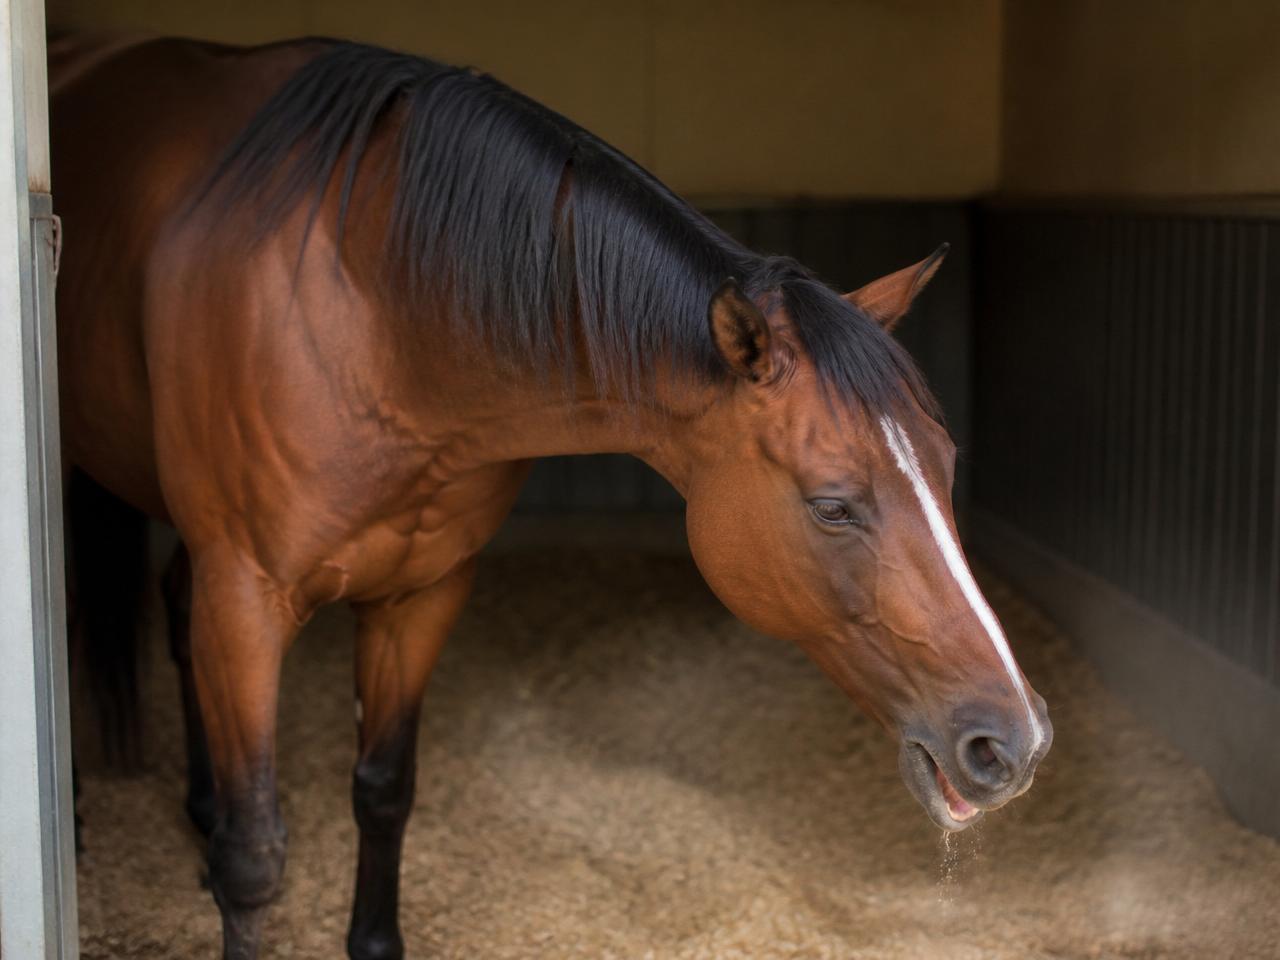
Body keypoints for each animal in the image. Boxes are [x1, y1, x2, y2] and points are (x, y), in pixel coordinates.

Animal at [50, 35, 1052, 960]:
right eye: (834, 505)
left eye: (947, 466)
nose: (1016, 742)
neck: (373, 313)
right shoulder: (249, 600)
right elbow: (257, 855)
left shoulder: (422, 595)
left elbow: (383, 792)